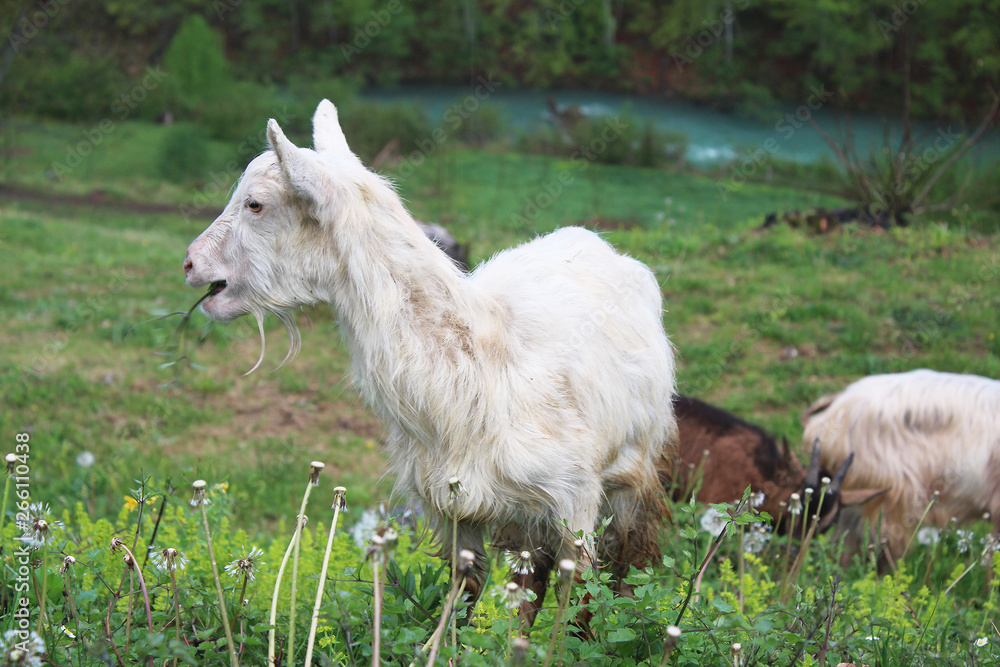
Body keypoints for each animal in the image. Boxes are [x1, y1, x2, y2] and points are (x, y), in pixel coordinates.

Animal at [182, 100, 678, 624]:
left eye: (255, 204)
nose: (190, 263)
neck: (478, 371)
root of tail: (598, 243)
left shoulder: (574, 500)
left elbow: (580, 597)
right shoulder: (452, 506)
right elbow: (465, 591)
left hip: (633, 470)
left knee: (622, 563)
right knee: (530, 579)